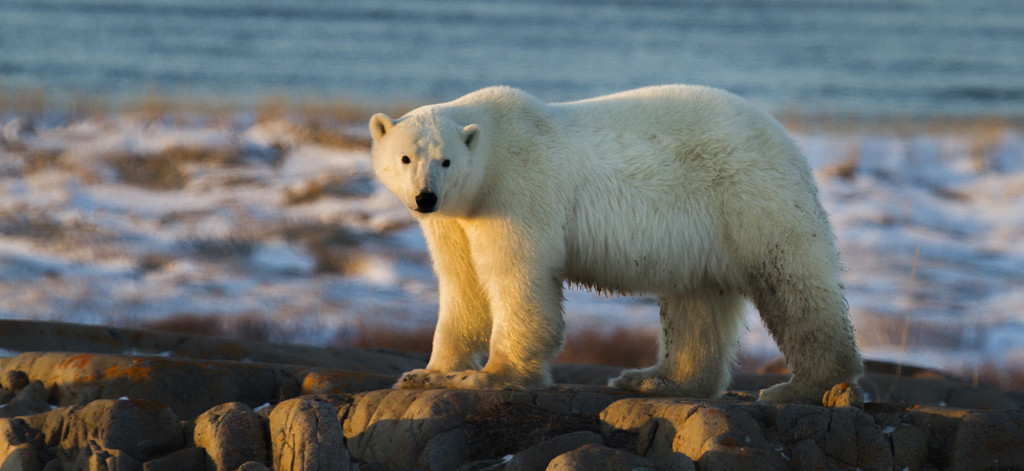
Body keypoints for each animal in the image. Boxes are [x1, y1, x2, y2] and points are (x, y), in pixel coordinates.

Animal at [368, 85, 862, 403]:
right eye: (405, 157)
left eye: (446, 161)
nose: (425, 197)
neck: (494, 145)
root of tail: (785, 140)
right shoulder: (457, 220)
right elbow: (463, 284)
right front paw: (427, 374)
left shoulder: (518, 191)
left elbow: (517, 276)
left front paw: (493, 377)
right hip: (705, 231)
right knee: (698, 302)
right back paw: (656, 380)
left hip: (751, 198)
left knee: (793, 287)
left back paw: (803, 386)